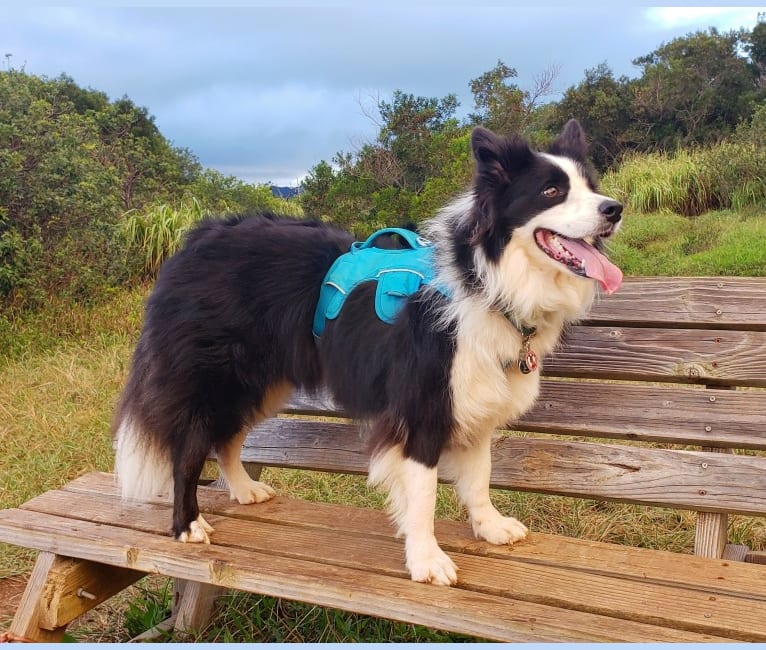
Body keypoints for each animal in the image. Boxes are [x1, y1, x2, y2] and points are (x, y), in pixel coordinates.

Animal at [112, 119, 624, 584]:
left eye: (591, 187)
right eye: (552, 191)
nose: (615, 209)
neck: (486, 281)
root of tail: (197, 239)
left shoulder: (475, 401)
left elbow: (479, 476)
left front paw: (489, 526)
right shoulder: (422, 407)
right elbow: (423, 494)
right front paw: (426, 561)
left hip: (262, 381)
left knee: (227, 437)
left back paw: (243, 490)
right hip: (214, 379)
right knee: (190, 447)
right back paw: (187, 524)